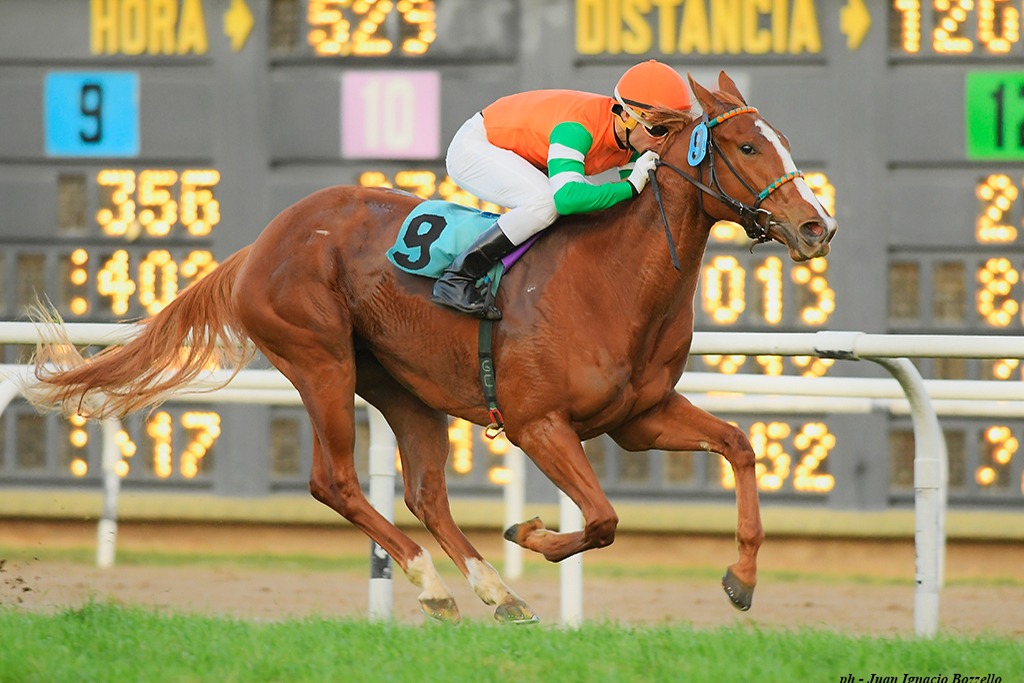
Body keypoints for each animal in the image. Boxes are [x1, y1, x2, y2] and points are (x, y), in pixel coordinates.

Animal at [23, 72, 836, 623]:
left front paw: (742, 577)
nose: (815, 226)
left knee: (424, 492)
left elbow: (739, 446)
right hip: (320, 360)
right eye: (745, 145)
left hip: (403, 386)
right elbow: (602, 518)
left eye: (784, 142)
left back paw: (492, 591)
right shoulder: (540, 422)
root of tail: (262, 242)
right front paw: (532, 532)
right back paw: (435, 583)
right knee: (335, 481)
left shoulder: (640, 416)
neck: (611, 279)